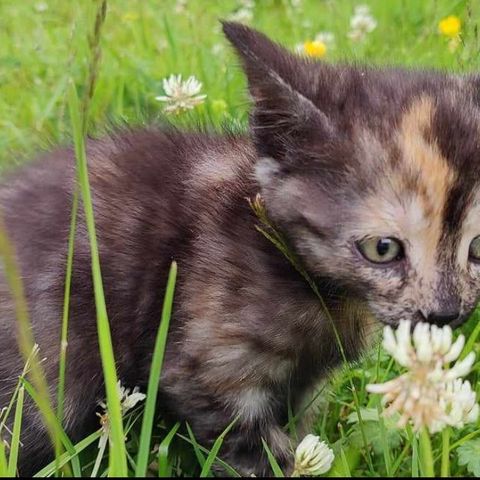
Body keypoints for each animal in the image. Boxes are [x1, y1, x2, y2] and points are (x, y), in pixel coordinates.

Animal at [0, 21, 480, 476]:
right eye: (382, 249)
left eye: (477, 248)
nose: (444, 313)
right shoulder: (210, 371)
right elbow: (258, 454)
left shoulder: (305, 386)